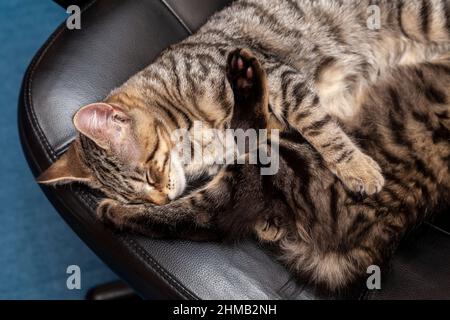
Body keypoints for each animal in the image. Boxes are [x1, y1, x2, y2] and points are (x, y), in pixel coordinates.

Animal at [35, 0, 450, 202]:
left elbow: (320, 127)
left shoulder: (281, 79)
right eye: (135, 201)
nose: (161, 202)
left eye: (150, 174)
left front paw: (357, 169)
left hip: (424, 16)